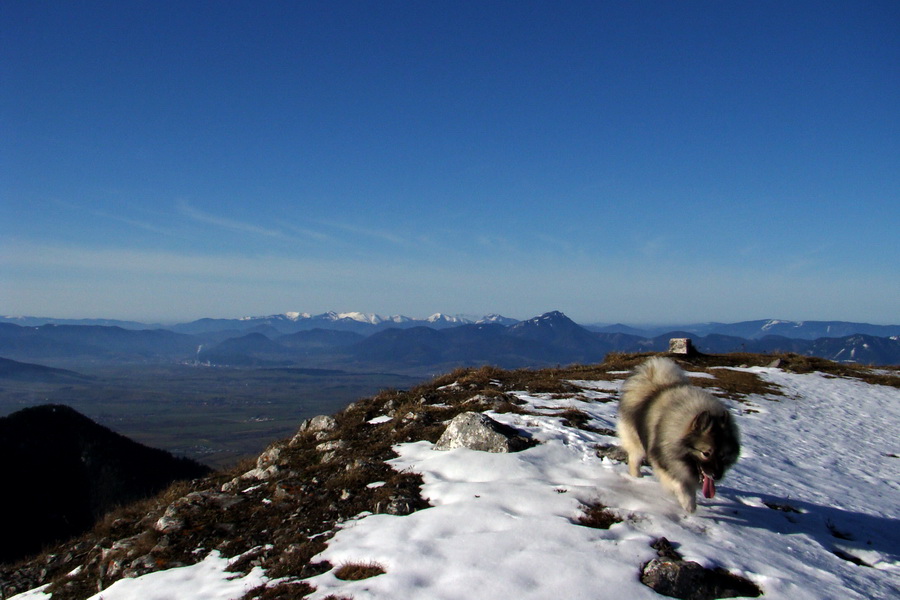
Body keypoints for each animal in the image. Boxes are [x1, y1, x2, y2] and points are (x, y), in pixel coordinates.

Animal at [620, 356, 740, 510]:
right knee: (634, 459)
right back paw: (637, 478)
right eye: (706, 453)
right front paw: (688, 505)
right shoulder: (664, 462)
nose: (716, 476)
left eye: (722, 455)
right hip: (637, 442)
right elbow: (679, 484)